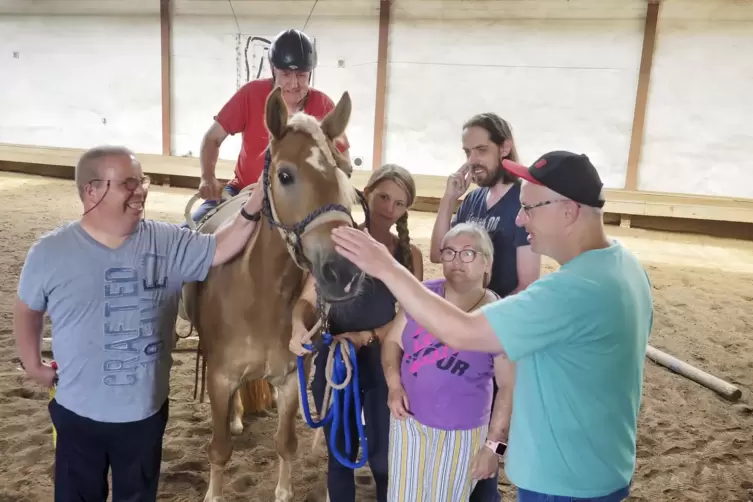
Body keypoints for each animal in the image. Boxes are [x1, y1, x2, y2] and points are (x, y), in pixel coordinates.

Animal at [185, 86, 368, 502]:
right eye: (285, 175)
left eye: (345, 173)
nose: (344, 272)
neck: (260, 293)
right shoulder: (219, 378)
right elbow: (219, 449)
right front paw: (214, 491)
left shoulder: (289, 378)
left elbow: (286, 444)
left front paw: (284, 490)